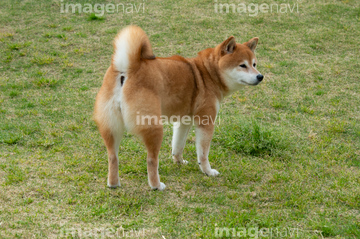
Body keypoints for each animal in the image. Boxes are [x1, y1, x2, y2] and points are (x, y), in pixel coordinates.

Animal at [93, 25, 262, 190]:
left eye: (254, 64)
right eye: (243, 65)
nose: (260, 76)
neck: (207, 73)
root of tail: (127, 67)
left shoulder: (183, 121)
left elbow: (178, 145)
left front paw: (179, 162)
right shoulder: (206, 122)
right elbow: (203, 154)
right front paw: (207, 171)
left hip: (111, 127)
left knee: (112, 157)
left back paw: (113, 184)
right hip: (154, 127)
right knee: (151, 160)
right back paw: (156, 186)